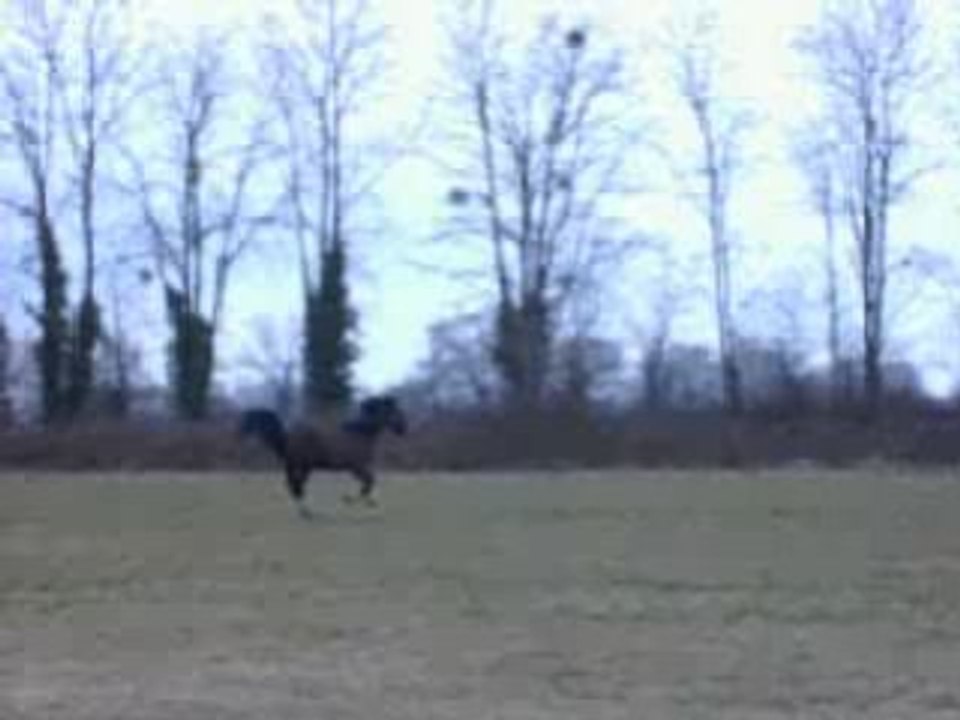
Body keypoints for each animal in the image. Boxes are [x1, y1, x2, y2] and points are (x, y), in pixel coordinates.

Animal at [237, 395, 408, 518]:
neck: (361, 433)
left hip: (302, 466)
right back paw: (306, 512)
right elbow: (369, 482)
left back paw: (306, 511)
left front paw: (370, 502)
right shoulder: (356, 466)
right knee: (296, 486)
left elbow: (369, 482)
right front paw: (350, 499)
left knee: (295, 486)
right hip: (303, 465)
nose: (403, 429)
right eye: (395, 411)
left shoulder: (357, 467)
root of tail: (287, 436)